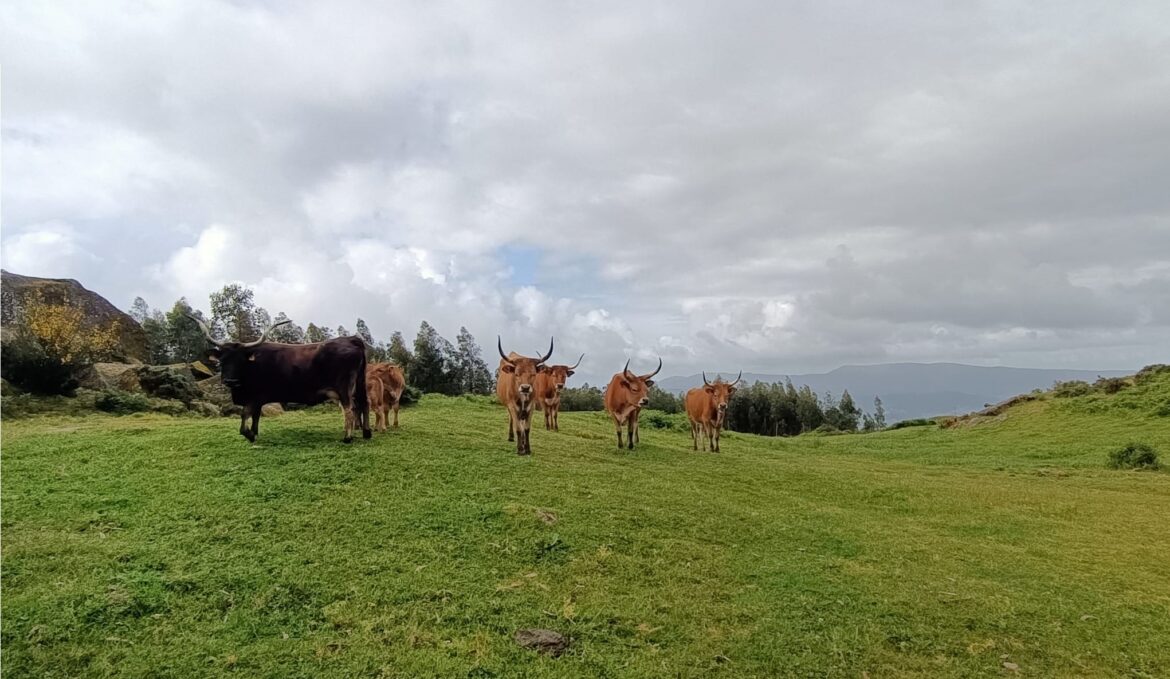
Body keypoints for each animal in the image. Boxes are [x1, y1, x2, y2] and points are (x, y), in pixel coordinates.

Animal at [189, 316, 369, 442]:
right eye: (223, 360)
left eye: (240, 360)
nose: (230, 381)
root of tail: (351, 339)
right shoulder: (257, 400)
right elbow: (256, 416)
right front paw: (254, 432)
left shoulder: (255, 397)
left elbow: (245, 414)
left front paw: (249, 435)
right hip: (359, 384)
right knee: (363, 404)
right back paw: (366, 432)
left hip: (344, 388)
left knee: (350, 409)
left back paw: (347, 437)